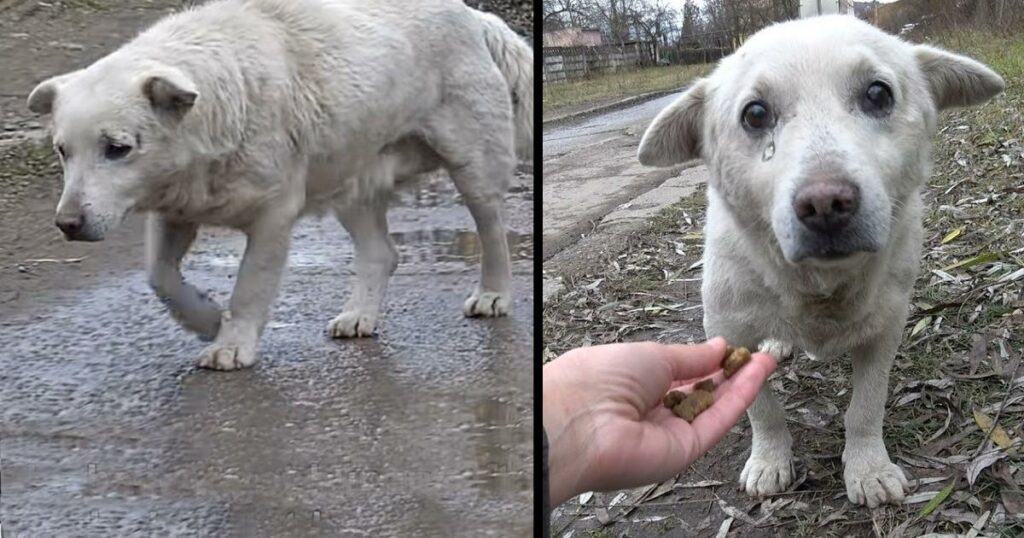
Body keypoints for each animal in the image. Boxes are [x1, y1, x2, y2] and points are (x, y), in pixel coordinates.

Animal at [28, 0, 532, 368]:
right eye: (62, 150)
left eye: (117, 148)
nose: (67, 224)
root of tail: (475, 17)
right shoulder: (173, 210)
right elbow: (159, 276)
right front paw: (206, 319)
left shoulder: (273, 215)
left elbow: (250, 285)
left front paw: (231, 344)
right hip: (350, 179)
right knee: (382, 253)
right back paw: (359, 315)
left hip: (472, 163)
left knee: (492, 230)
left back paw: (493, 294)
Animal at [638, 14, 999, 506]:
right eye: (755, 114)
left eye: (878, 94)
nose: (826, 203)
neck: (818, 287)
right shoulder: (729, 331)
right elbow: (763, 410)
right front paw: (770, 460)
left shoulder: (885, 329)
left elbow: (866, 406)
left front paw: (867, 468)